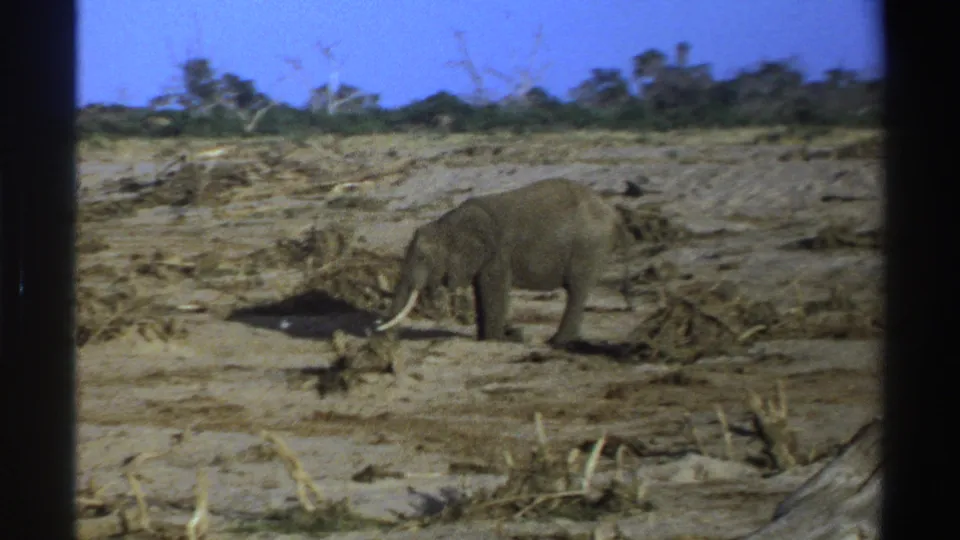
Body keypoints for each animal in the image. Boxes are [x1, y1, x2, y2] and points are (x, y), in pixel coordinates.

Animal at [373, 178, 635, 346]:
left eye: (423, 257)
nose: (376, 329)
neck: (448, 223)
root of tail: (614, 214)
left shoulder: (498, 254)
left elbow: (494, 290)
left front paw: (498, 339)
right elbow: (481, 291)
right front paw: (488, 338)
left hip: (589, 247)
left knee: (577, 291)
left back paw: (556, 343)